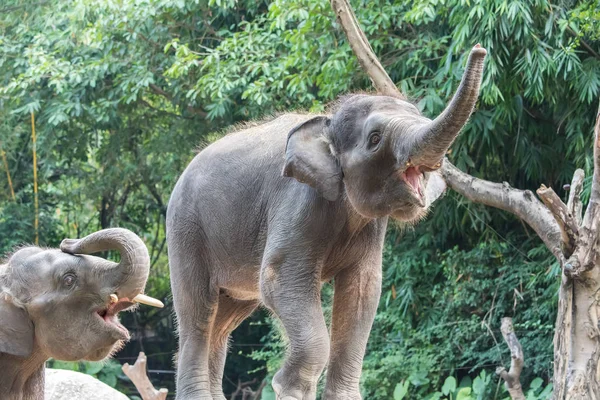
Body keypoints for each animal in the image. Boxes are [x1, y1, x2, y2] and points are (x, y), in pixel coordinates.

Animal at [166, 44, 486, 400]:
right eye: (375, 138)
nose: (479, 49)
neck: (327, 122)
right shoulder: (297, 201)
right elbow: (278, 279)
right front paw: (288, 387)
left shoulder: (371, 229)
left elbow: (363, 291)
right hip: (186, 230)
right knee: (198, 313)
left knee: (223, 321)